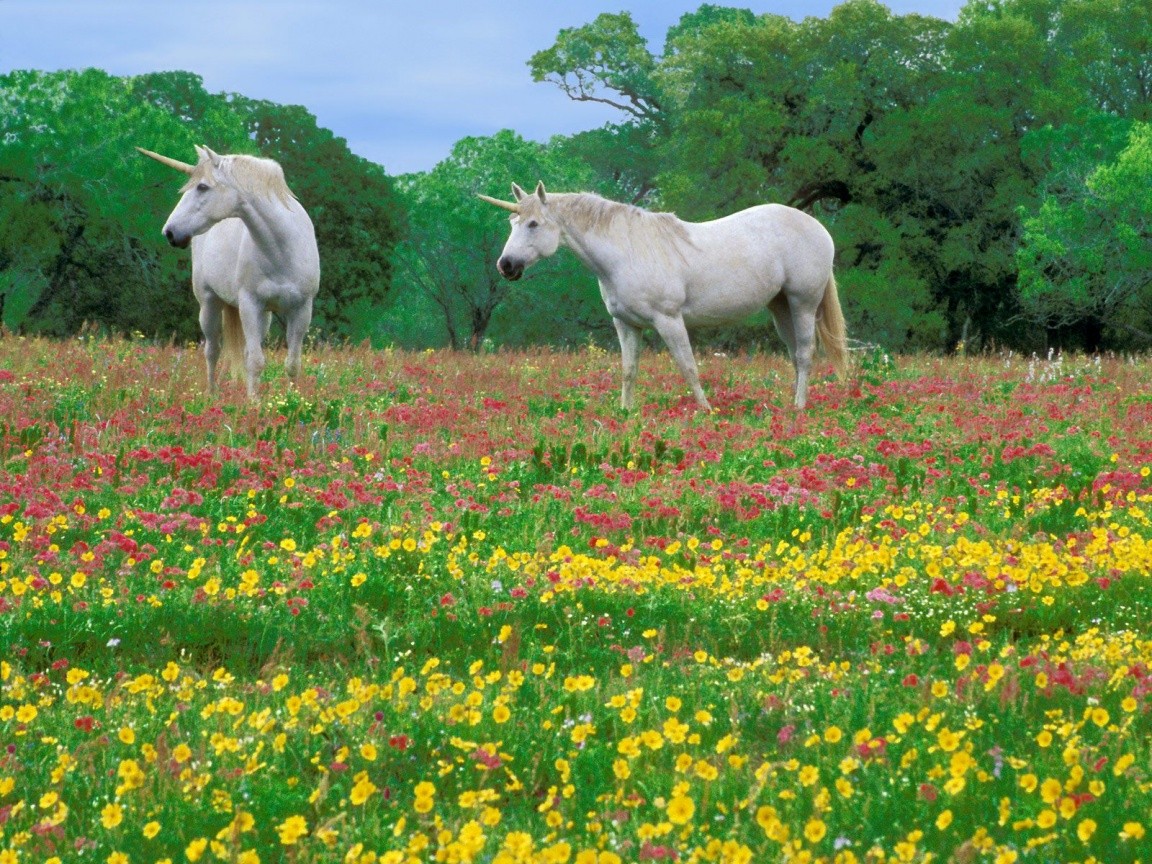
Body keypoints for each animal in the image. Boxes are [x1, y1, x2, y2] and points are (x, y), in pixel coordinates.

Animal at [138, 145, 320, 398]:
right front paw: (254, 403)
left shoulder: (302, 310)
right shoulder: (250, 304)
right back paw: (212, 394)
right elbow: (255, 361)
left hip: (265, 316)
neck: (282, 250)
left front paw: (291, 401)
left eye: (202, 186)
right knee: (212, 351)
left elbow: (292, 364)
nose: (170, 232)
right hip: (209, 304)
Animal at [476, 182, 847, 410]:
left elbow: (688, 367)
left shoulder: (669, 321)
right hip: (780, 306)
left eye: (534, 224)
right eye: (512, 222)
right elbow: (629, 370)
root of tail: (819, 228)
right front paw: (626, 412)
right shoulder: (626, 324)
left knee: (805, 354)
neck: (626, 252)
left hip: (803, 303)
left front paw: (706, 410)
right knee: (794, 355)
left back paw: (798, 407)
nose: (505, 265)